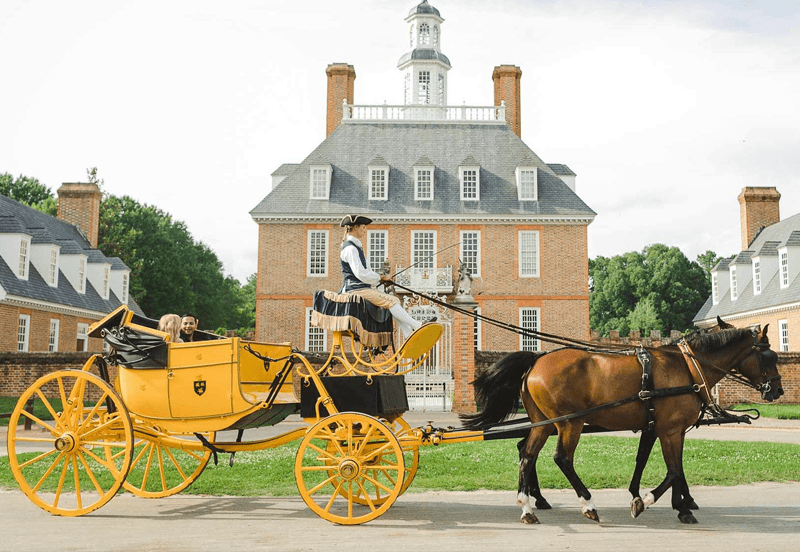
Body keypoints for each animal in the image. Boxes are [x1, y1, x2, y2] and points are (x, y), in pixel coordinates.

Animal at [462, 326, 780, 524]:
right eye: (768, 356)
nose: (776, 391)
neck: (687, 368)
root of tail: (536, 360)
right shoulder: (669, 429)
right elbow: (674, 470)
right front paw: (648, 500)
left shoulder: (660, 428)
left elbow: (664, 465)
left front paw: (680, 505)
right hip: (570, 422)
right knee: (561, 458)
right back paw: (587, 504)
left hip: (543, 422)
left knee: (527, 455)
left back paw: (528, 506)